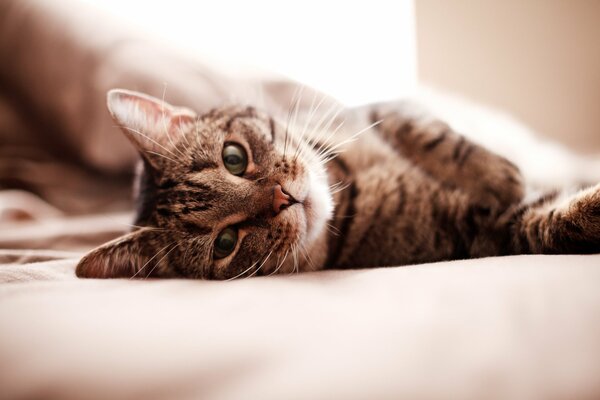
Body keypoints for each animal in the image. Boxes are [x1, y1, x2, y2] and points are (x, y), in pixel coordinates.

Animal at [75, 89, 600, 280]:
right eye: (225, 243)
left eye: (234, 158)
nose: (283, 198)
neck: (350, 185)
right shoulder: (484, 231)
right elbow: (557, 221)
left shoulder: (382, 108)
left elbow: (434, 136)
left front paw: (498, 175)